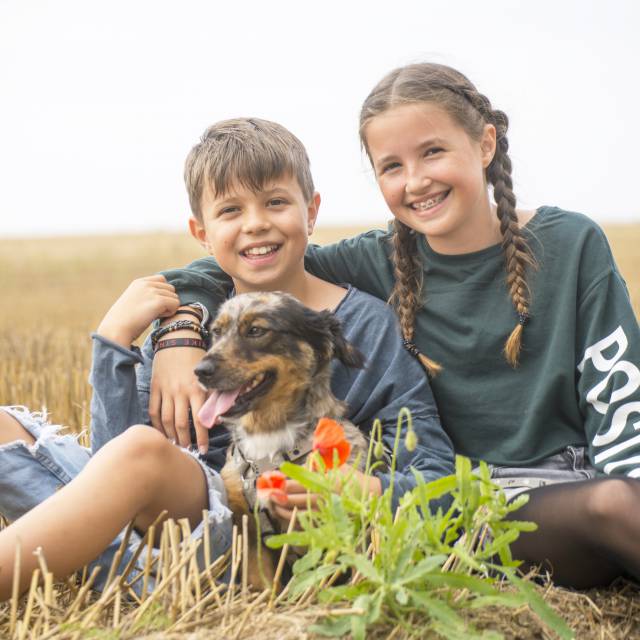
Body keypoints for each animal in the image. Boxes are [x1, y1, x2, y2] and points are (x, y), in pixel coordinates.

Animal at [192, 292, 368, 588]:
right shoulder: (249, 531)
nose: (200, 370)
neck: (268, 439)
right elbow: (262, 585)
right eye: (217, 331)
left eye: (256, 330)